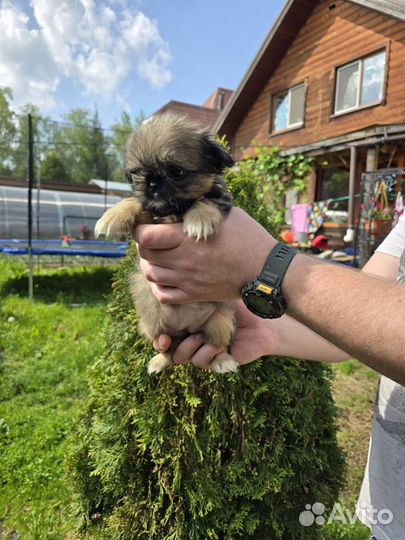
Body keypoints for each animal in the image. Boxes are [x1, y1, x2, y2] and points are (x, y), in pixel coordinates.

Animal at [95, 113, 238, 376]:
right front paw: (113, 216)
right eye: (137, 172)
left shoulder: (219, 198)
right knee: (167, 349)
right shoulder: (149, 217)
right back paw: (158, 362)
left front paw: (199, 219)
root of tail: (186, 331)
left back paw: (223, 361)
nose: (152, 182)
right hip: (151, 325)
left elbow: (204, 200)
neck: (174, 210)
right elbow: (134, 200)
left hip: (220, 322)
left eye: (177, 172)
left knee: (216, 347)